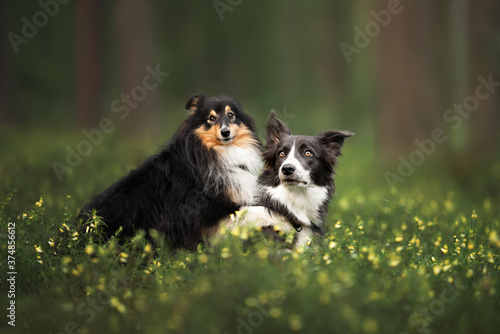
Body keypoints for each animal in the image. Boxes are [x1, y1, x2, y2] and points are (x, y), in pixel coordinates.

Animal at [77, 92, 262, 249]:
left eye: (231, 115)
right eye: (211, 118)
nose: (225, 132)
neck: (215, 153)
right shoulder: (209, 213)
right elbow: (255, 210)